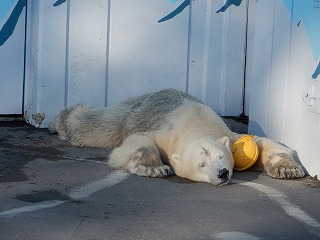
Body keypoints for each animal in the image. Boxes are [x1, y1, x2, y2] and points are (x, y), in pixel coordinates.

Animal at [49, 88, 304, 186]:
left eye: (220, 157)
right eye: (201, 165)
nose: (222, 174)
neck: (198, 123)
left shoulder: (230, 135)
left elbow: (260, 142)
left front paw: (288, 169)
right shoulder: (167, 135)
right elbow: (140, 140)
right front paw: (156, 168)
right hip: (132, 112)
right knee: (95, 125)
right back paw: (60, 120)